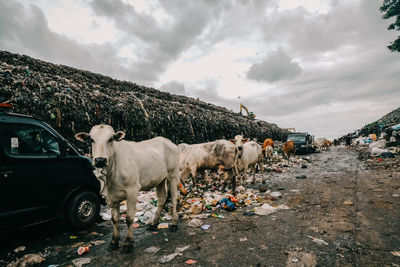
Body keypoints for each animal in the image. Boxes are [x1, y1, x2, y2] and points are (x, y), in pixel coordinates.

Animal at [76, 124, 179, 254]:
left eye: (111, 139)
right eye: (91, 139)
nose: (100, 160)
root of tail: (168, 141)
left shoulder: (132, 192)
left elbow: (129, 219)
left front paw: (128, 243)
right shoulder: (111, 196)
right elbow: (115, 219)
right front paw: (114, 242)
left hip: (173, 175)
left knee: (174, 198)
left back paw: (174, 223)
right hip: (160, 179)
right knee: (162, 199)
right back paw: (153, 224)